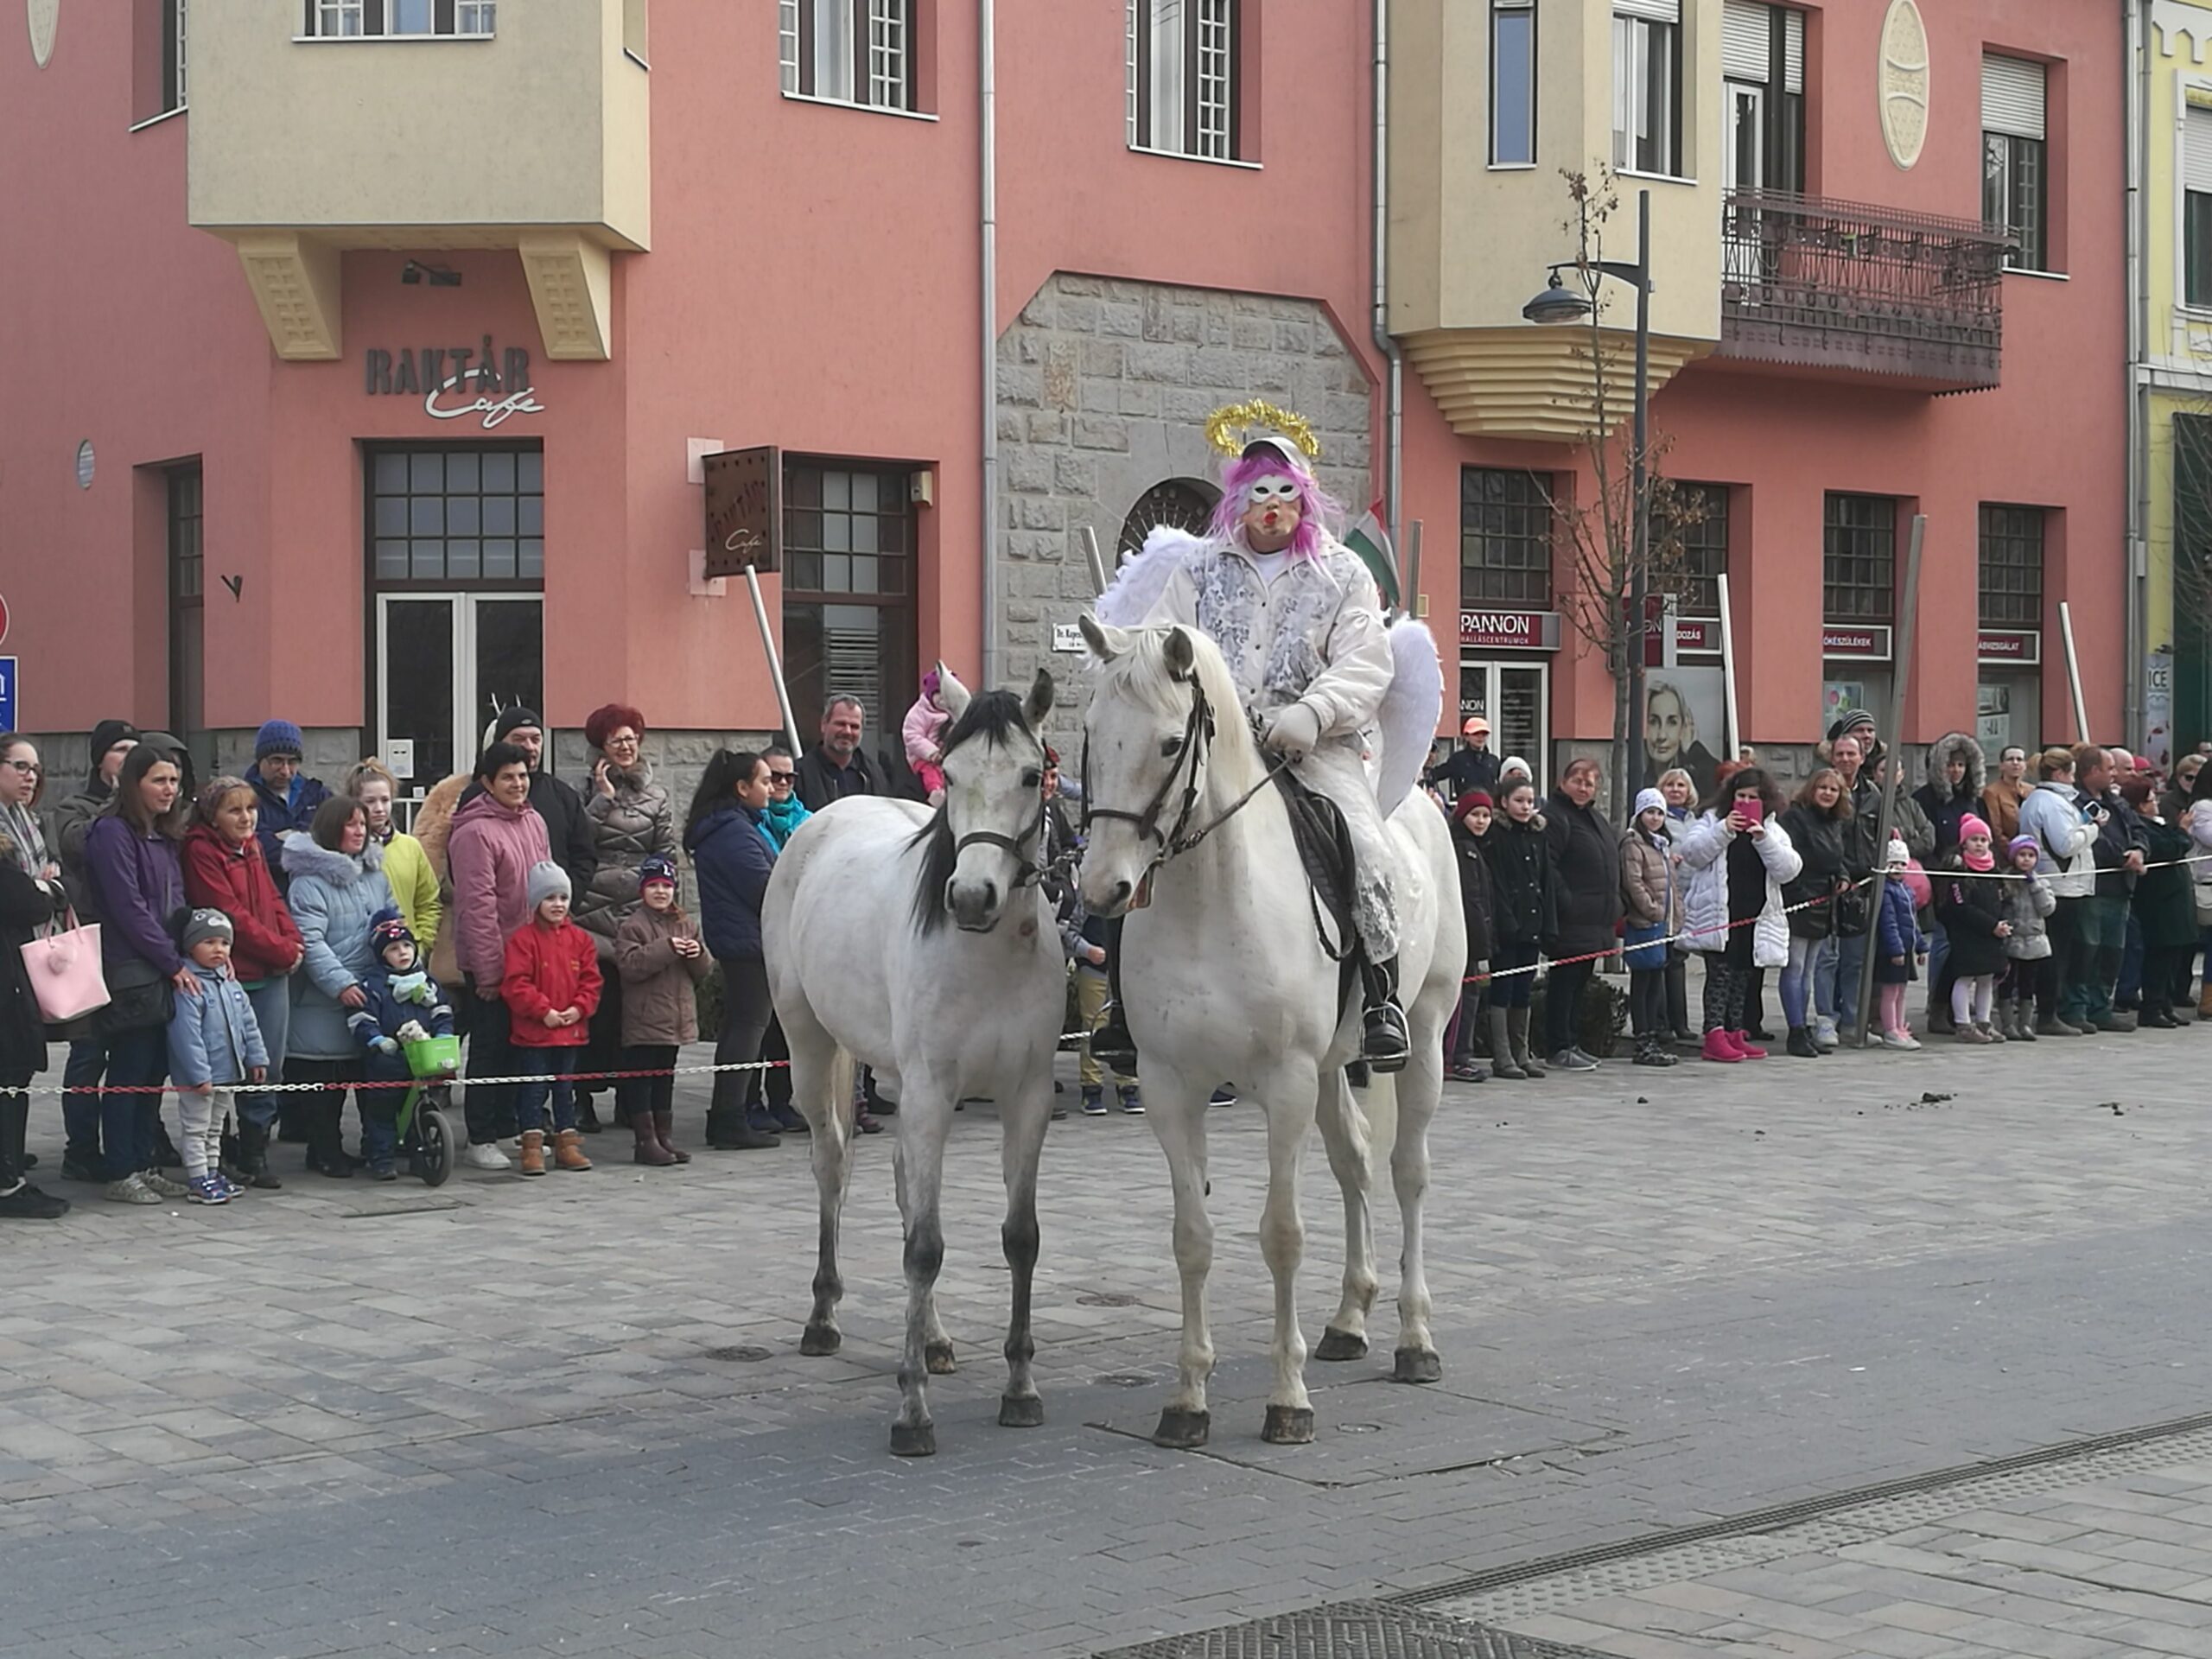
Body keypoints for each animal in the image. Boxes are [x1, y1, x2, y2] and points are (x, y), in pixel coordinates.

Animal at [765, 668, 1065, 1459]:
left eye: (1031, 775)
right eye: (951, 775)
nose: (971, 897)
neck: (987, 958)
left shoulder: (1025, 1097)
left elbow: (1019, 1237)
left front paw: (1021, 1390)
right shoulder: (932, 1089)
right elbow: (924, 1249)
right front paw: (913, 1413)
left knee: (905, 1186)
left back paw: (931, 1338)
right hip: (810, 1046)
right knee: (833, 1165)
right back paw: (823, 1319)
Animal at [1075, 619, 1459, 1451]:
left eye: (1168, 744)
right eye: (1091, 730)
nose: (1101, 888)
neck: (1210, 902)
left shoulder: (1284, 1083)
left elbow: (1281, 1233)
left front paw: (1288, 1400)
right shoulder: (1170, 1087)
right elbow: (1192, 1236)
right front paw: (1188, 1398)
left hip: (1427, 1037)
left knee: (1409, 1173)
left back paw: (1416, 1338)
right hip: (1331, 1069)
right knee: (1355, 1164)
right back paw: (1349, 1320)